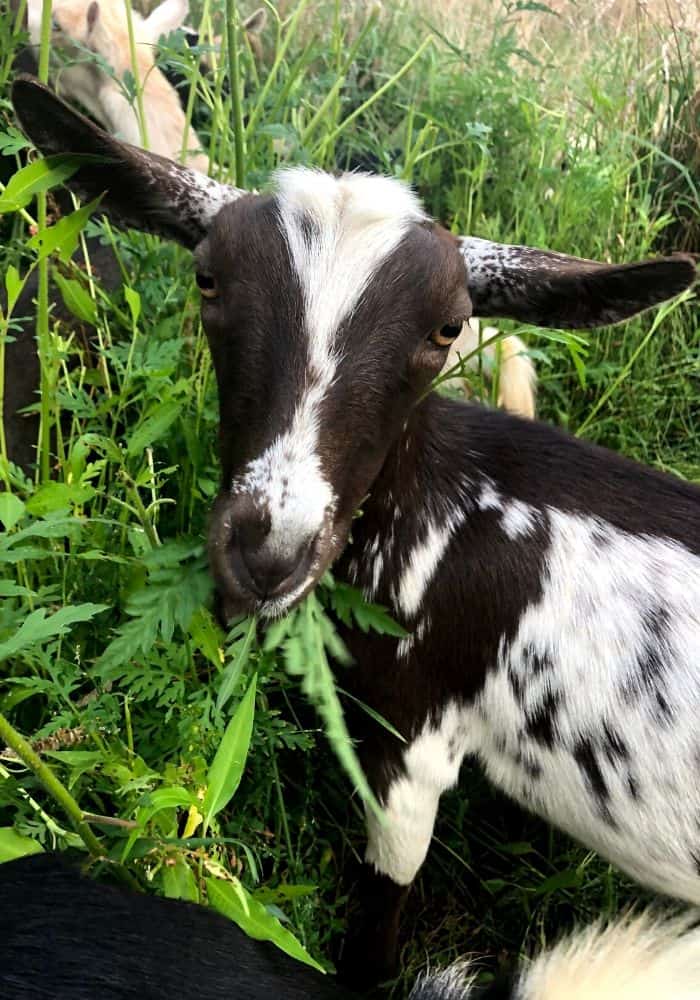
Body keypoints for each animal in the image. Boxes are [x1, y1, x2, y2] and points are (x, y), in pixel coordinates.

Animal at [12, 74, 700, 988]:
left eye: (449, 328)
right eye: (207, 278)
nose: (268, 551)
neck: (457, 506)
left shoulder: (414, 745)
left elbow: (379, 915)